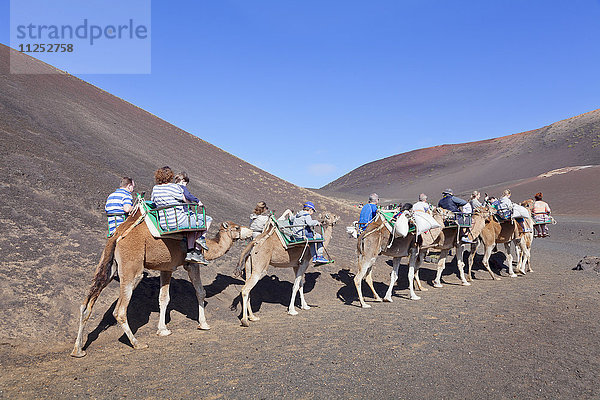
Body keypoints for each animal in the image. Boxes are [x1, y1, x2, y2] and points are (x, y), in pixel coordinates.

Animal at [71, 203, 252, 356]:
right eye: (236, 227)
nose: (250, 232)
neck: (207, 247)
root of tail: (118, 235)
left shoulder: (166, 268)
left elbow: (163, 298)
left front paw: (163, 329)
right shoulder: (191, 264)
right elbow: (201, 292)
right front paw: (204, 324)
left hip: (109, 266)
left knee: (86, 303)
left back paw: (78, 350)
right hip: (132, 267)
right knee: (119, 310)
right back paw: (138, 343)